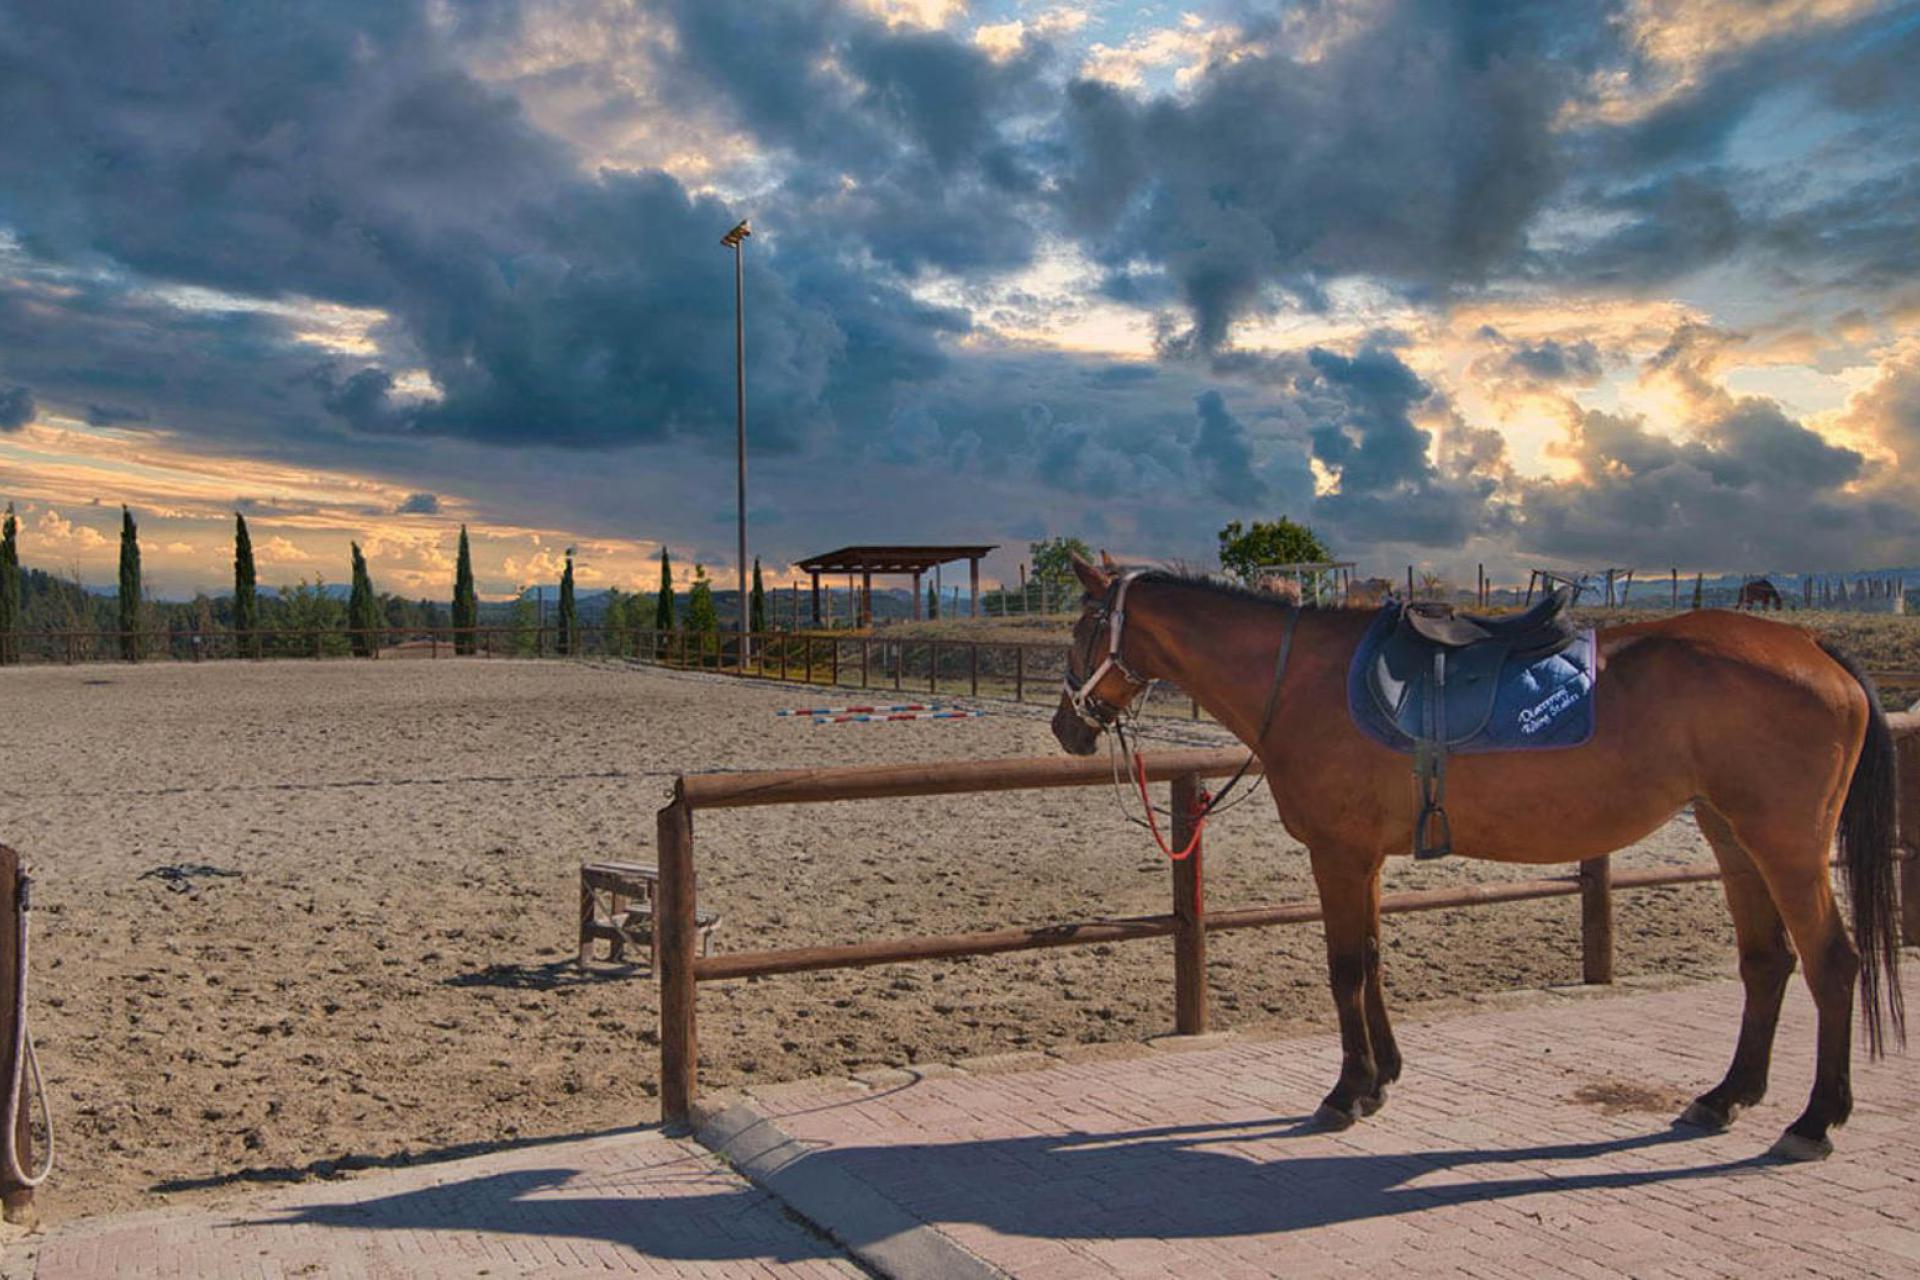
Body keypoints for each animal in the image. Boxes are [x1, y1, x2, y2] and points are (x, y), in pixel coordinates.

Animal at [1059, 556, 1896, 1166]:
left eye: (1082, 628)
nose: (1068, 727)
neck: (1299, 679)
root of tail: (1813, 647)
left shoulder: (1338, 853)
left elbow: (1345, 969)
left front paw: (1346, 1091)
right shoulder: (1365, 858)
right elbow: (1373, 957)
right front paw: (1382, 1079)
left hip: (1786, 846)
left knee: (1832, 963)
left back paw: (1815, 1120)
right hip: (1732, 837)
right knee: (1766, 962)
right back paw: (1726, 1096)